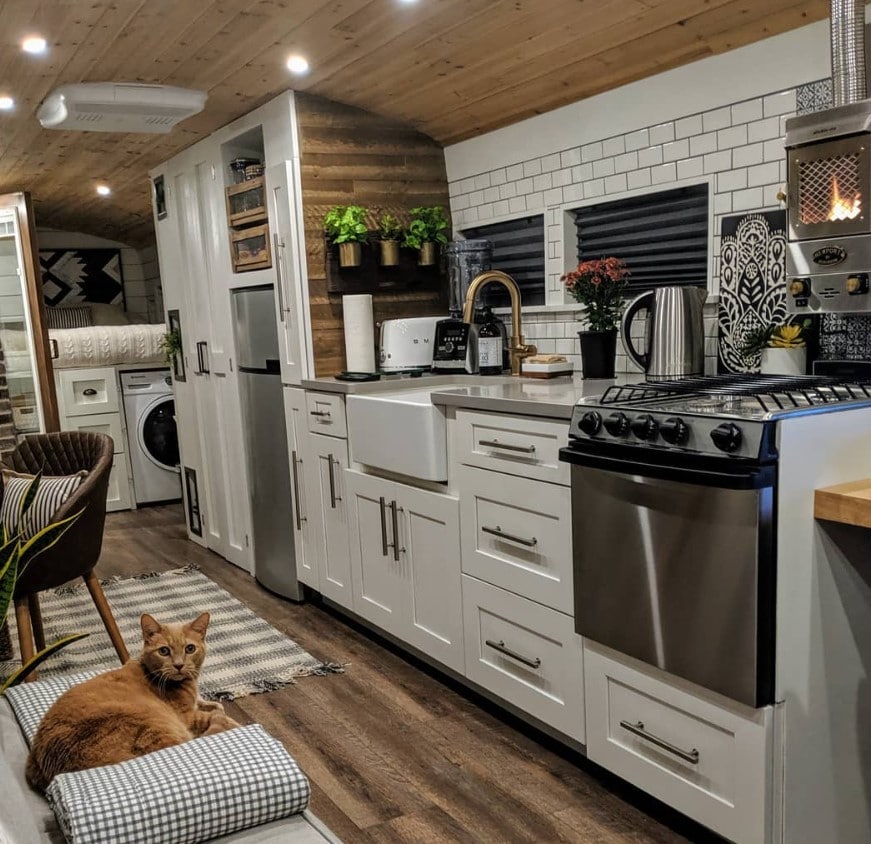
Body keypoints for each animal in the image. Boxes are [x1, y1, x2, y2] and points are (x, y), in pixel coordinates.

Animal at [27, 612, 238, 792]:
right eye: (164, 651)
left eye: (190, 649)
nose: (179, 665)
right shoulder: (186, 717)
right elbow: (215, 716)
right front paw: (226, 718)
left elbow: (212, 704)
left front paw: (214, 704)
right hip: (157, 723)